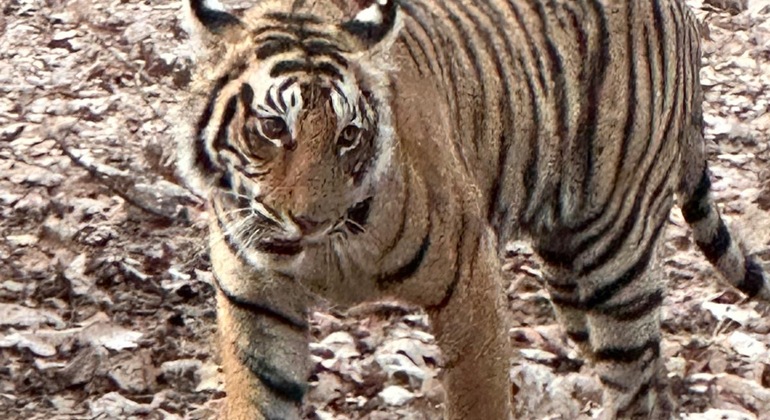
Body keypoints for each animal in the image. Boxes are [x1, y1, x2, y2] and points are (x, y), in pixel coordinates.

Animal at [177, 0, 770, 418]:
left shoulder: (469, 278)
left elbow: (478, 393)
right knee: (653, 379)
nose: (311, 221)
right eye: (273, 128)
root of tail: (684, 13)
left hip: (616, 261)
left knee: (635, 388)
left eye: (348, 136)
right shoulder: (258, 302)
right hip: (570, 277)